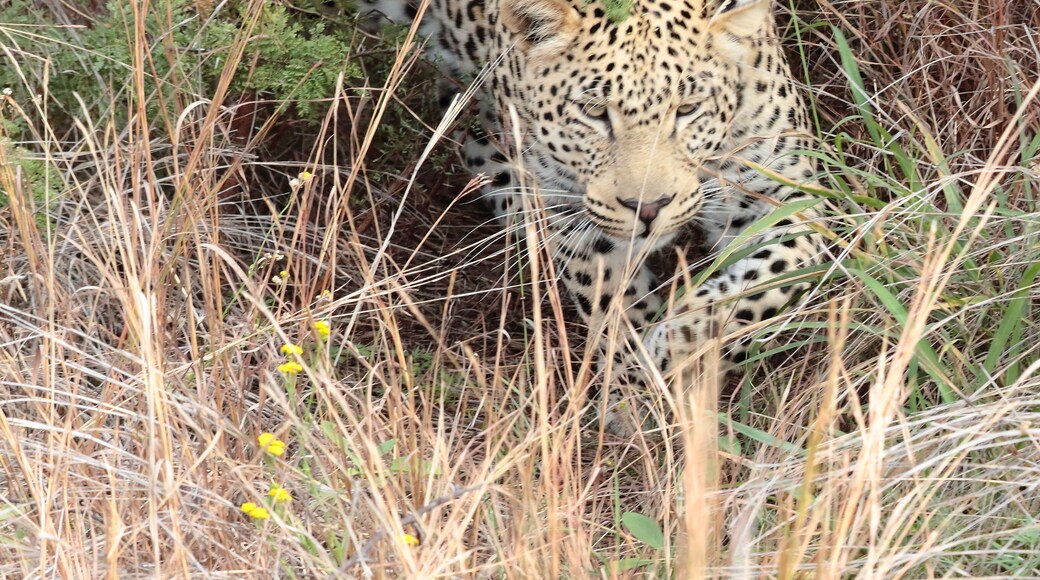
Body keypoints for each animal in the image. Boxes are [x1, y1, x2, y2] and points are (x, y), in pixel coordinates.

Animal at [362, 0, 823, 435]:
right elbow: (612, 305)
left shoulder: (784, 192)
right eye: (594, 112)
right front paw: (635, 387)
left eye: (688, 109)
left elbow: (767, 284)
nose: (648, 207)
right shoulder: (570, 210)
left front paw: (677, 346)